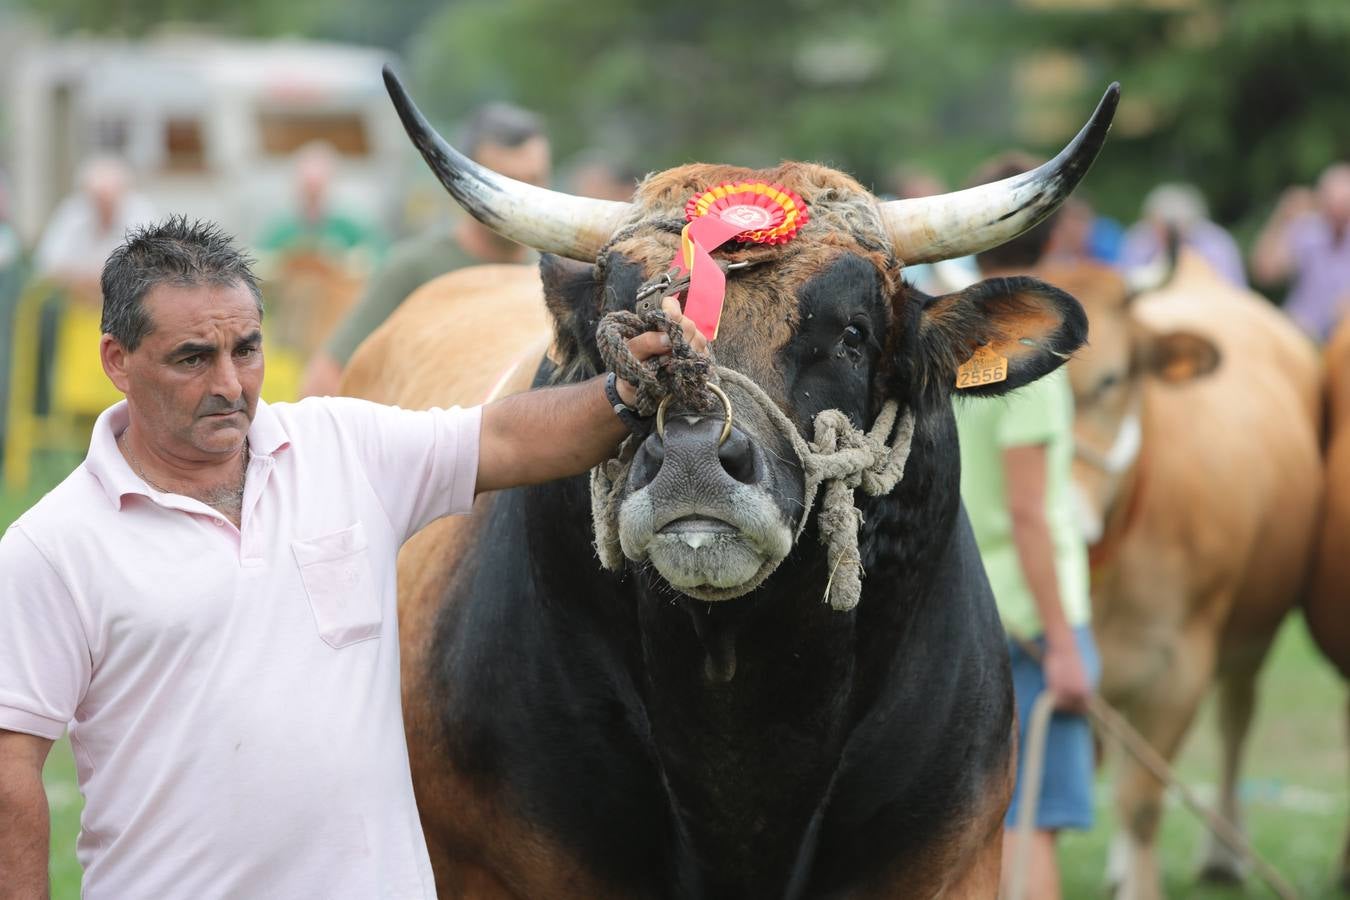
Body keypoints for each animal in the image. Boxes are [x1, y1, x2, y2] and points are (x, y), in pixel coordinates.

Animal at [1047, 253, 1323, 900]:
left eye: (1111, 380)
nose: (1059, 513)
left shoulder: (1180, 667)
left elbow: (1143, 801)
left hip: (1249, 639)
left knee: (1235, 721)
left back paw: (1222, 854)